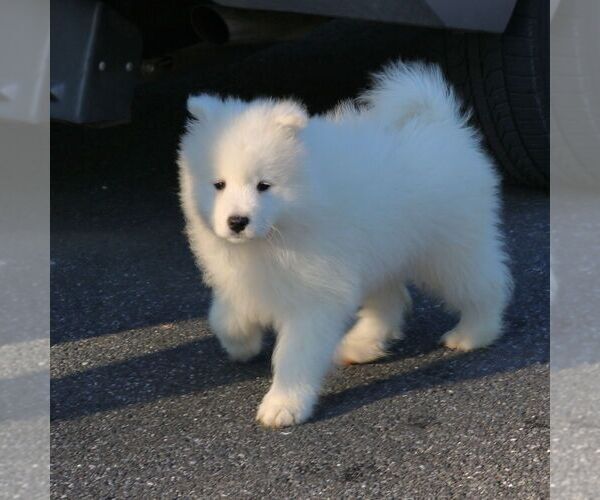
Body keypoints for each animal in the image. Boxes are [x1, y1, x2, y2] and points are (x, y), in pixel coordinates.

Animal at [177, 60, 510, 428]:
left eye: (264, 185)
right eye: (218, 184)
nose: (237, 222)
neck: (280, 228)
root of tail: (438, 121)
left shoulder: (315, 294)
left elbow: (296, 354)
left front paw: (284, 404)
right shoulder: (245, 275)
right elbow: (224, 315)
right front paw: (241, 343)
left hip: (451, 248)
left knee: (484, 285)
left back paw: (474, 332)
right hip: (378, 253)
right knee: (390, 301)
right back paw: (361, 345)